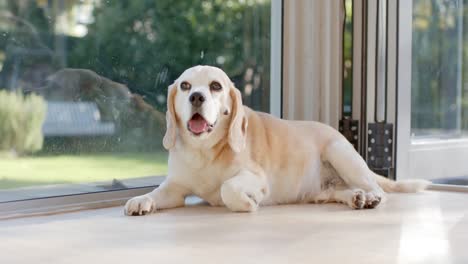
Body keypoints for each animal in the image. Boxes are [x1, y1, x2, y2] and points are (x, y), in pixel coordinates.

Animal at [123, 65, 428, 216]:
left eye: (215, 86)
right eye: (185, 86)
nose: (196, 97)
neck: (204, 152)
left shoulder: (256, 178)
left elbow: (228, 188)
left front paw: (246, 203)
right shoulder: (174, 189)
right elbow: (155, 194)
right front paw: (141, 200)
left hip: (340, 153)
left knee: (380, 191)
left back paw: (370, 196)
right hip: (324, 188)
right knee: (337, 192)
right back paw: (355, 197)